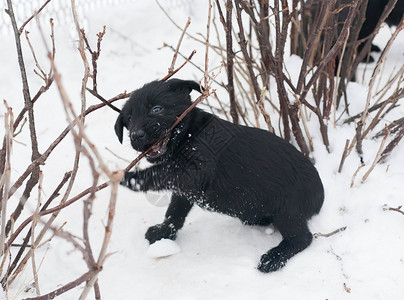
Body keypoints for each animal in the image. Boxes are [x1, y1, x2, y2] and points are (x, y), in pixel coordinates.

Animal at [114, 78, 326, 274]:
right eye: (129, 119)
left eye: (157, 109)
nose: (135, 135)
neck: (189, 134)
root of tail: (320, 196)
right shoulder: (184, 190)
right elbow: (174, 212)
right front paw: (164, 231)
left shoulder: (192, 170)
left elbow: (159, 173)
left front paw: (128, 178)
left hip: (287, 210)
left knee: (301, 238)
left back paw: (273, 257)